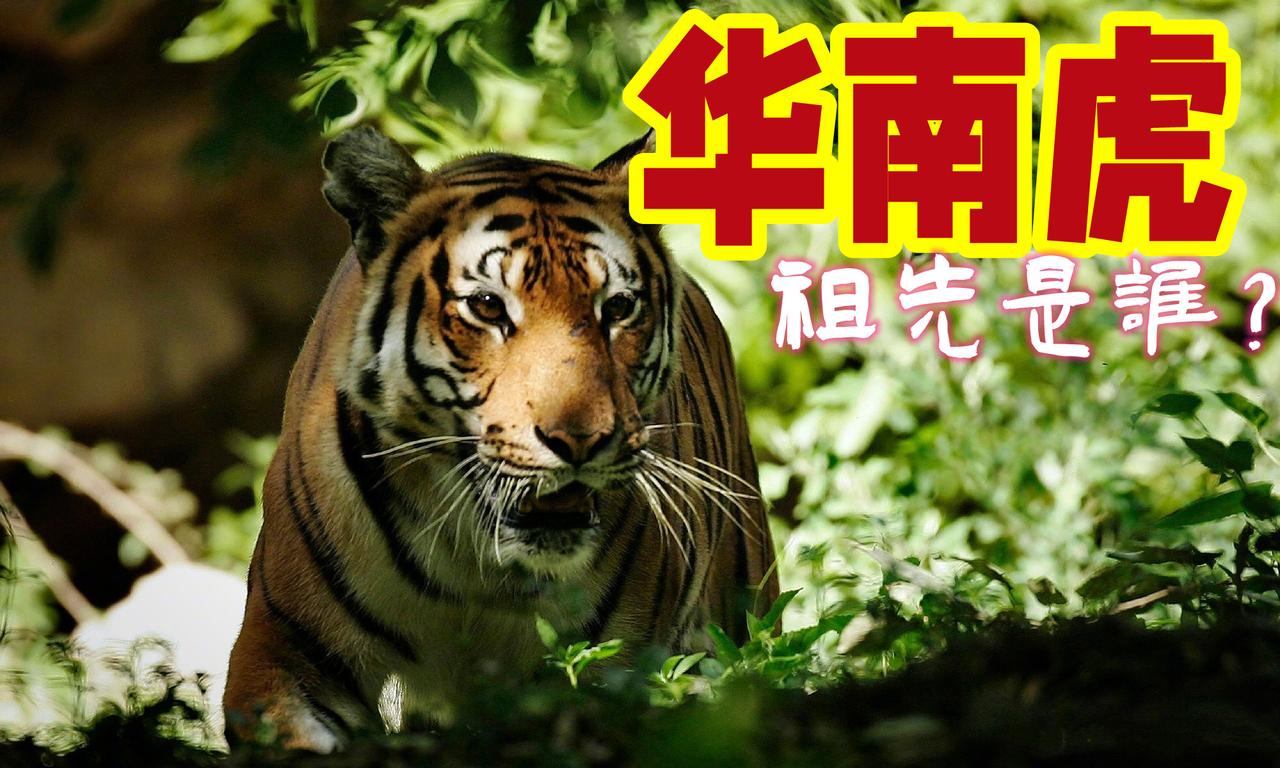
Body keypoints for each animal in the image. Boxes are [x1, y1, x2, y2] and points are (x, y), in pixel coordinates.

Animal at [222, 125, 778, 751]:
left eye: (617, 307)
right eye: (488, 306)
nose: (581, 440)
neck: (472, 563)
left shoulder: (615, 668)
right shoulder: (281, 651)